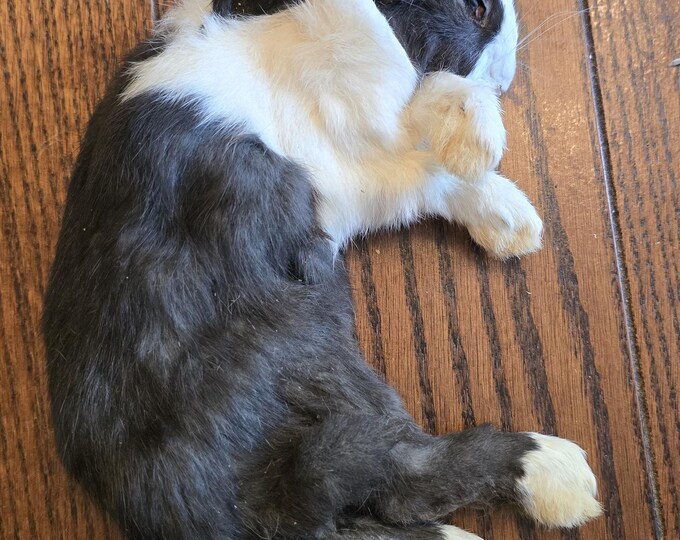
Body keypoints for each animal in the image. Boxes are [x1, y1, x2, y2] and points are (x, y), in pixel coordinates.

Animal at [43, 1, 601, 539]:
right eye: (478, 10)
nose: (506, 79)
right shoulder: (365, 136)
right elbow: (433, 123)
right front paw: (480, 142)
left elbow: (435, 172)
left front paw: (512, 221)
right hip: (315, 369)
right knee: (400, 474)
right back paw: (556, 473)